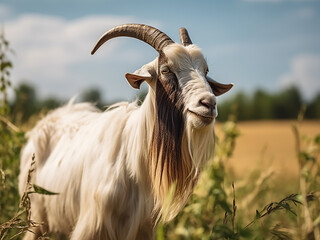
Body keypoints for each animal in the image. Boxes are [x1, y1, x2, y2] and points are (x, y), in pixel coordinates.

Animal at [18, 23, 232, 240]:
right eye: (166, 69)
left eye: (205, 71)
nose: (208, 104)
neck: (133, 163)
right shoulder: (91, 225)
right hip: (36, 217)